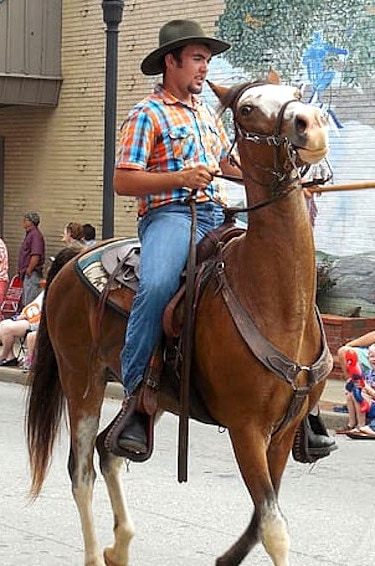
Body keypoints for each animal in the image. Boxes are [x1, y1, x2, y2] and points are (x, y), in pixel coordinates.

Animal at [26, 72, 332, 566]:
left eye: (295, 96)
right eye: (247, 108)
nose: (312, 126)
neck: (278, 300)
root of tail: (76, 255)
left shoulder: (285, 431)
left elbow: (261, 517)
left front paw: (227, 558)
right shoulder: (246, 428)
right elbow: (274, 527)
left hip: (142, 396)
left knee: (110, 450)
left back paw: (120, 545)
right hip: (81, 380)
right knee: (82, 468)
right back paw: (96, 551)